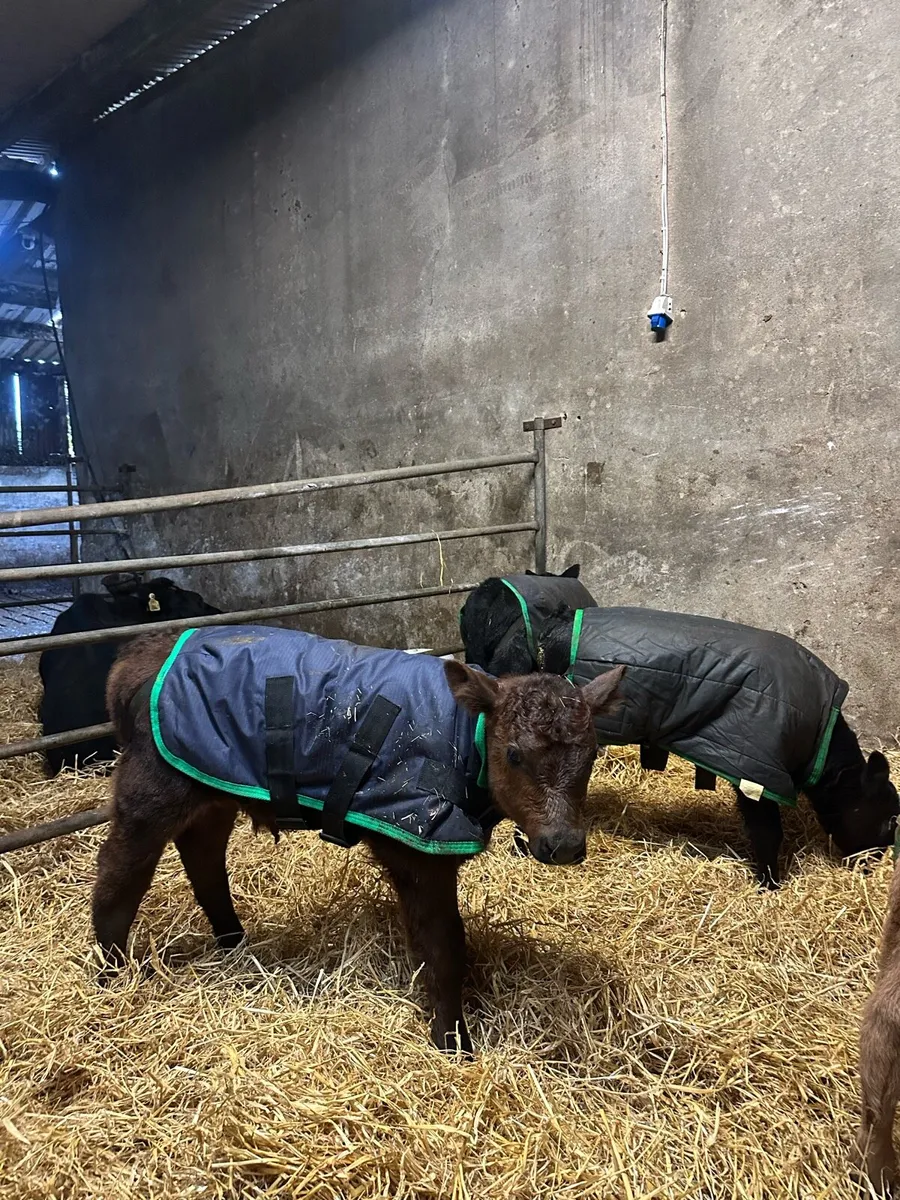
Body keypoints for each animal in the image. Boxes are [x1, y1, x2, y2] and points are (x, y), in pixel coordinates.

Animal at [92, 624, 625, 1053]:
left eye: (592, 754)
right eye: (514, 754)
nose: (563, 843)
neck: (461, 736)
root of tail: (138, 654)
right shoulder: (420, 846)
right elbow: (445, 944)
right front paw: (453, 1041)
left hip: (212, 786)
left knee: (203, 857)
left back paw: (233, 941)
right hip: (152, 786)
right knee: (119, 872)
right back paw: (110, 973)